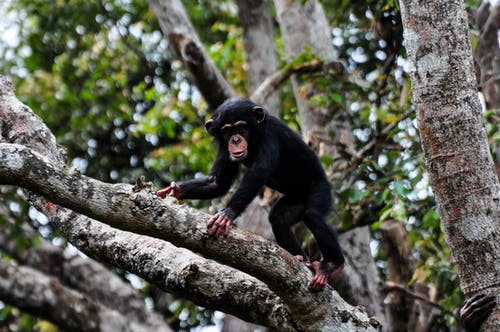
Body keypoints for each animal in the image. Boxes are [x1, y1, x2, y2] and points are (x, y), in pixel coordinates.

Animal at [158, 97, 346, 290]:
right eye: (227, 131)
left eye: (242, 128)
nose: (235, 140)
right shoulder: (224, 147)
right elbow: (218, 182)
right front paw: (175, 190)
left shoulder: (271, 134)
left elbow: (259, 170)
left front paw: (227, 214)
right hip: (297, 199)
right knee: (279, 217)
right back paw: (299, 257)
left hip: (321, 189)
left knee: (313, 215)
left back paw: (332, 265)